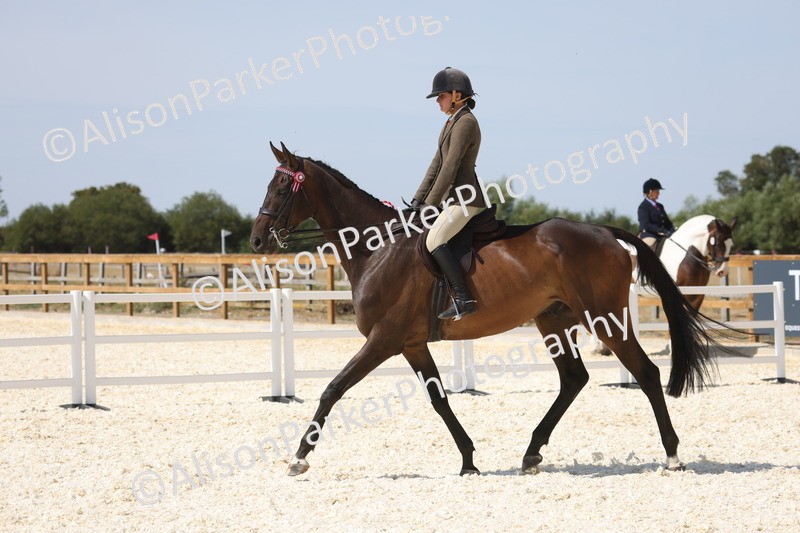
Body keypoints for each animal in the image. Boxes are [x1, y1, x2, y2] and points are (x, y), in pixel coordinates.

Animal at [251, 142, 719, 477]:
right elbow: (439, 399)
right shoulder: (412, 344)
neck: (378, 249)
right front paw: (468, 460)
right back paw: (531, 454)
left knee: (646, 373)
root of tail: (605, 232)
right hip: (554, 319)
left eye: (281, 189)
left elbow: (333, 389)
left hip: (604, 319)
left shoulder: (384, 340)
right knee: (574, 378)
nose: (257, 240)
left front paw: (299, 458)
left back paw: (673, 456)